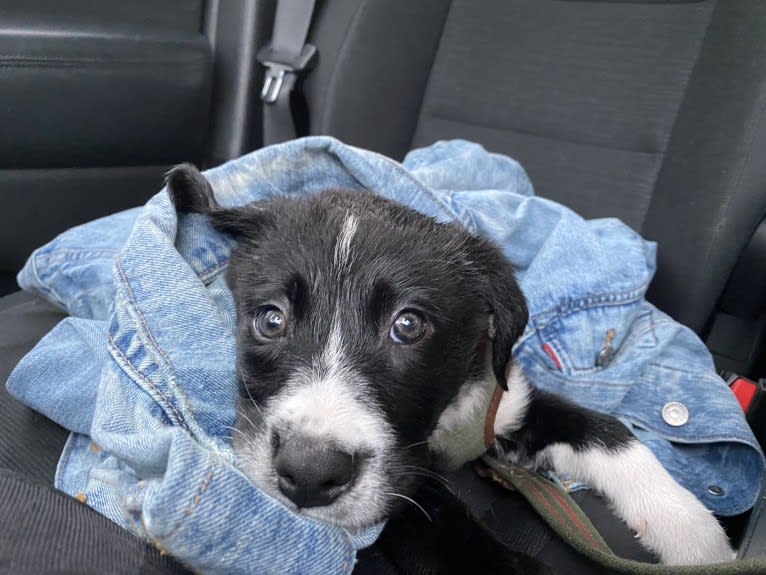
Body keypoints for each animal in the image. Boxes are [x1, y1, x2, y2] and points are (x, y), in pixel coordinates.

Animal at [170, 164, 736, 572]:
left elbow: (608, 430)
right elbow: (440, 518)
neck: (447, 421)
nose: (309, 473)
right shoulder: (411, 487)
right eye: (270, 319)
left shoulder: (508, 399)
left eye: (408, 325)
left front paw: (694, 535)